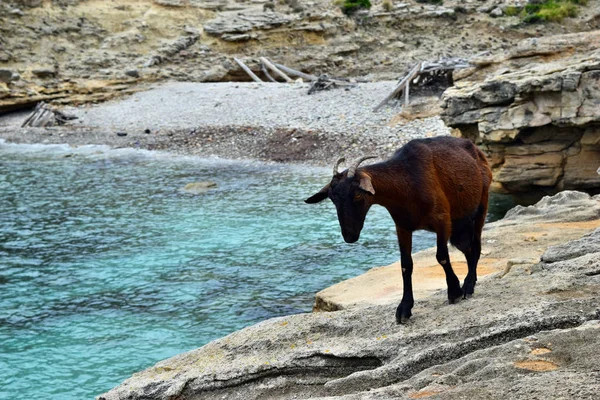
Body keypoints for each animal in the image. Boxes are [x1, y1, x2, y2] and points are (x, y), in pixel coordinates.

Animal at [304, 136, 492, 324]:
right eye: (332, 199)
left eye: (358, 194)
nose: (349, 236)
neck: (406, 182)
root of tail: (476, 150)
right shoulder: (402, 226)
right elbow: (405, 265)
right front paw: (404, 308)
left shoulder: (442, 220)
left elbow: (442, 257)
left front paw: (454, 291)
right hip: (460, 226)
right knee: (468, 248)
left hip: (481, 207)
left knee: (476, 246)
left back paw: (468, 285)